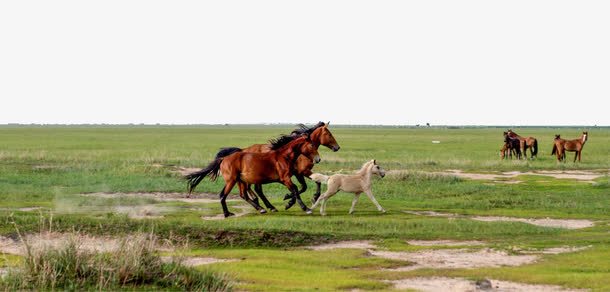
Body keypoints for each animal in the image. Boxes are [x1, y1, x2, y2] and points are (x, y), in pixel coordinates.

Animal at [184, 135, 318, 217]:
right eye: (312, 145)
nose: (318, 159)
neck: (283, 157)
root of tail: (223, 159)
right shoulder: (285, 178)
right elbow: (295, 189)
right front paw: (305, 208)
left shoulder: (284, 179)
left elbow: (296, 189)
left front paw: (288, 201)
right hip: (232, 181)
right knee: (223, 195)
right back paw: (227, 214)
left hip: (241, 181)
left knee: (243, 194)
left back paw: (261, 208)